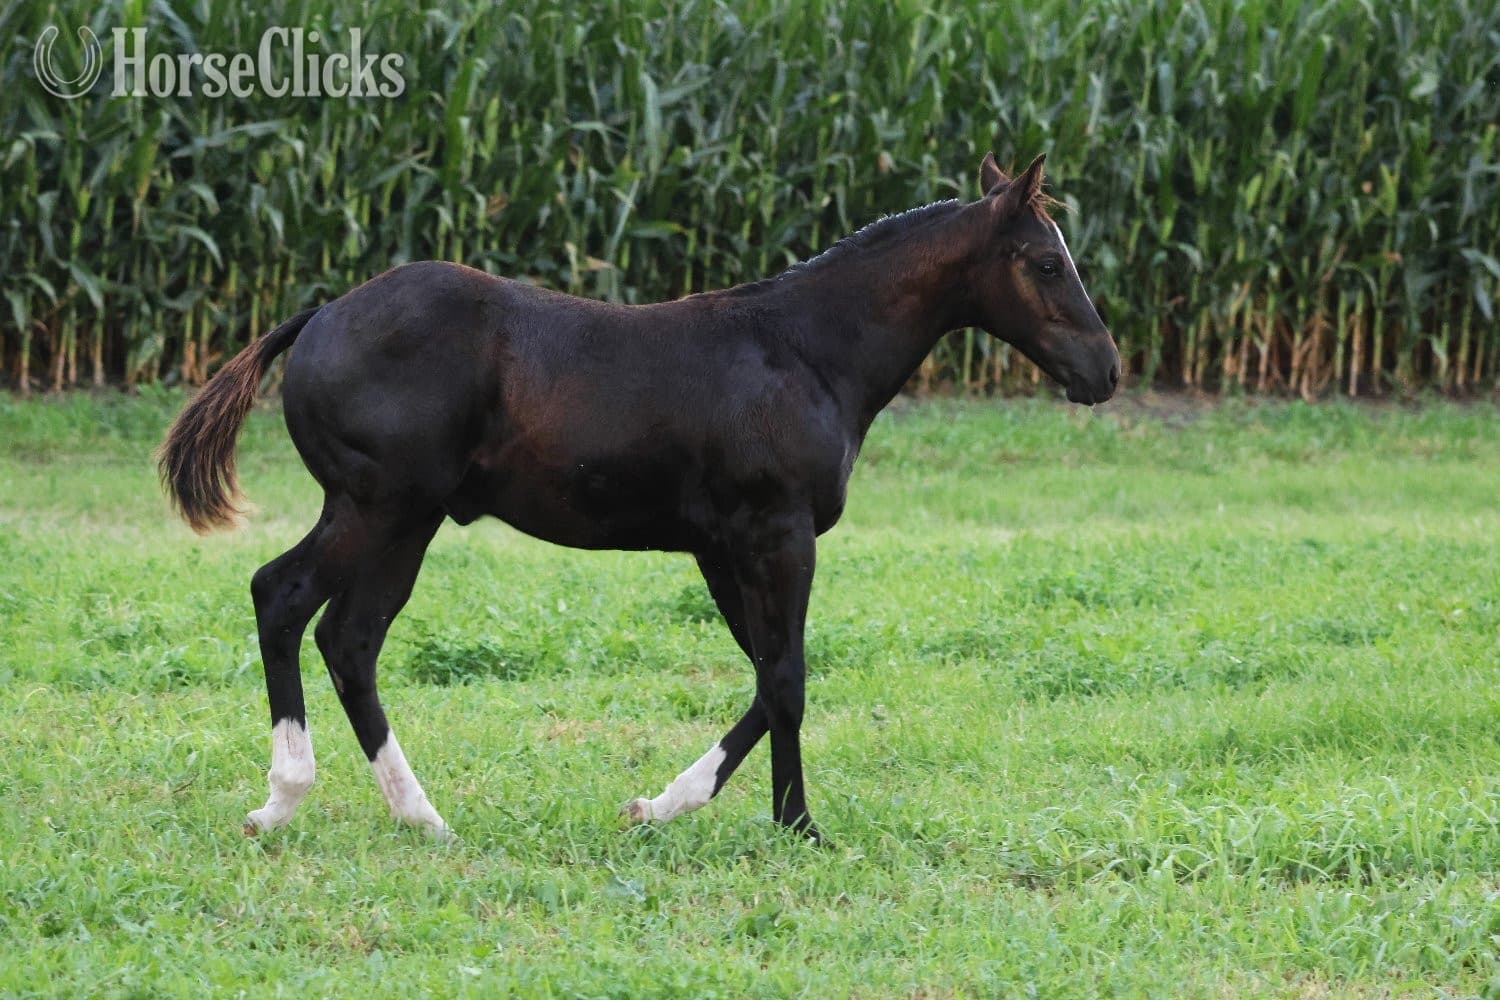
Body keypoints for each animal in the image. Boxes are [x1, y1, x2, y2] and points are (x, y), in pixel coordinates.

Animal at [158, 152, 1119, 842]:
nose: (1106, 371)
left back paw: (420, 816)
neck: (803, 350)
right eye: (1045, 261)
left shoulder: (722, 548)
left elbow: (766, 673)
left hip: (402, 520)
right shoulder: (777, 533)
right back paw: (286, 799)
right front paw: (786, 825)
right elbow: (788, 678)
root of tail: (317, 318)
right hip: (378, 508)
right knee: (284, 599)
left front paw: (684, 808)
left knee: (348, 640)